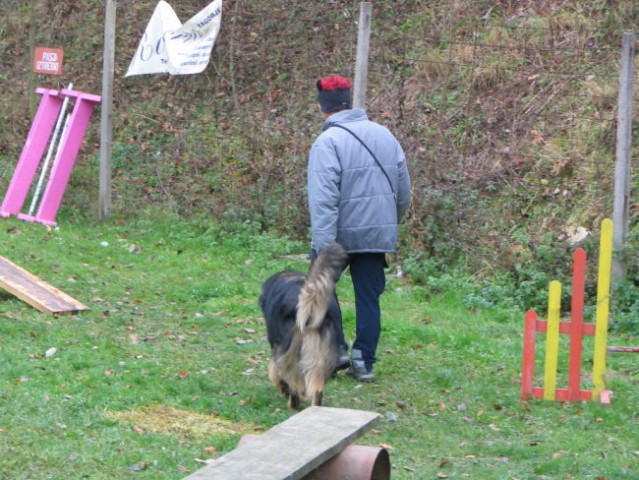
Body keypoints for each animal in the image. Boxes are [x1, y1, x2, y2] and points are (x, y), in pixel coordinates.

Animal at [260, 244, 348, 408]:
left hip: (291, 353)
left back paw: (293, 402)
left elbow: (275, 372)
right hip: (320, 353)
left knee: (293, 381)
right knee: (317, 389)